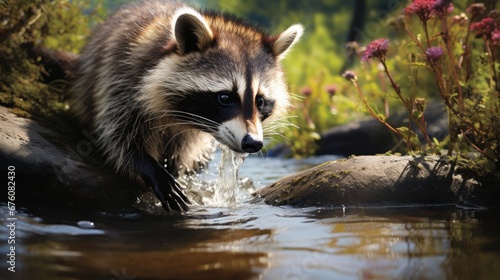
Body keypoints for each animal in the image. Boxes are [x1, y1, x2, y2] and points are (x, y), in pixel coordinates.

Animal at [70, 0, 302, 210]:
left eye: (260, 101)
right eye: (225, 98)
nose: (253, 142)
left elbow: (182, 150)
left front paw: (174, 171)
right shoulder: (122, 74)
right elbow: (116, 135)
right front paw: (149, 166)